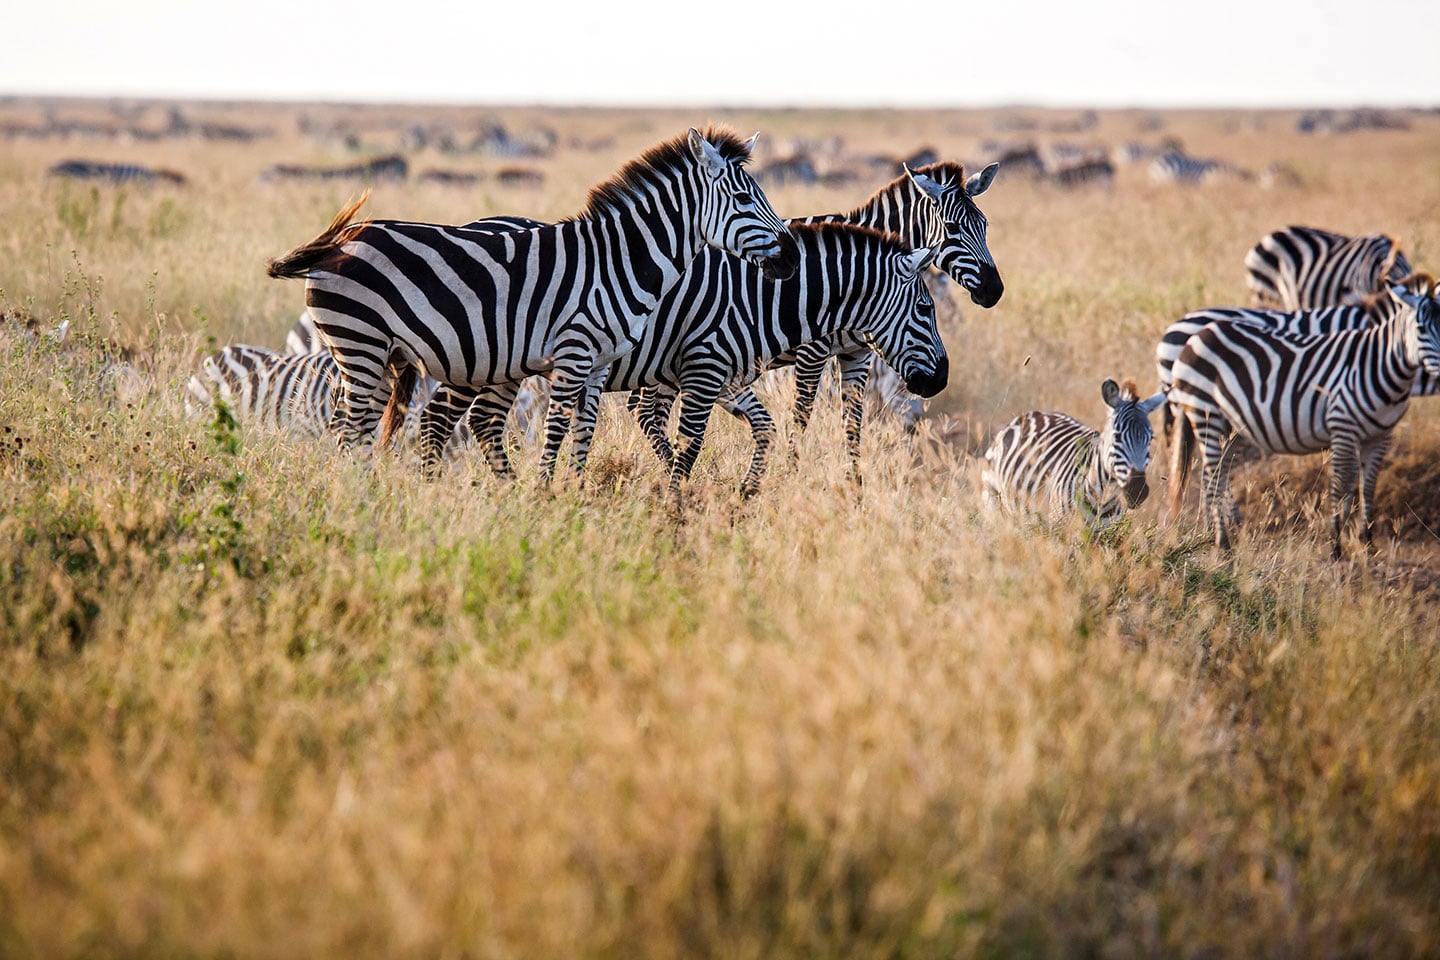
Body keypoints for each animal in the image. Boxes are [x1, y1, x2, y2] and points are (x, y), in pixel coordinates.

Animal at [267, 127, 798, 482]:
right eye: (744, 200)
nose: (792, 257)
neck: (619, 260)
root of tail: (341, 241)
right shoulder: (574, 353)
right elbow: (557, 429)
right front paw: (545, 496)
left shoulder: (598, 363)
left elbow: (584, 430)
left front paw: (574, 497)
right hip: (360, 345)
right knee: (348, 429)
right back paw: (352, 500)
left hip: (384, 356)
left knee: (369, 430)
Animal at [982, 378, 1165, 529]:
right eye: (1117, 437)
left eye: (1150, 439)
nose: (1137, 491)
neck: (1102, 498)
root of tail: (1027, 415)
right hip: (996, 501)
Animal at [1166, 278, 1440, 557]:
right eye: (1421, 330)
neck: (1380, 364)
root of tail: (1197, 335)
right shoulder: (1341, 425)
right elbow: (1341, 483)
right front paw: (1335, 544)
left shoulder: (1380, 435)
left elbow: (1367, 485)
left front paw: (1366, 542)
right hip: (1204, 411)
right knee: (1212, 475)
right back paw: (1222, 543)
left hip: (1229, 425)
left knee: (1215, 474)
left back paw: (1216, 534)